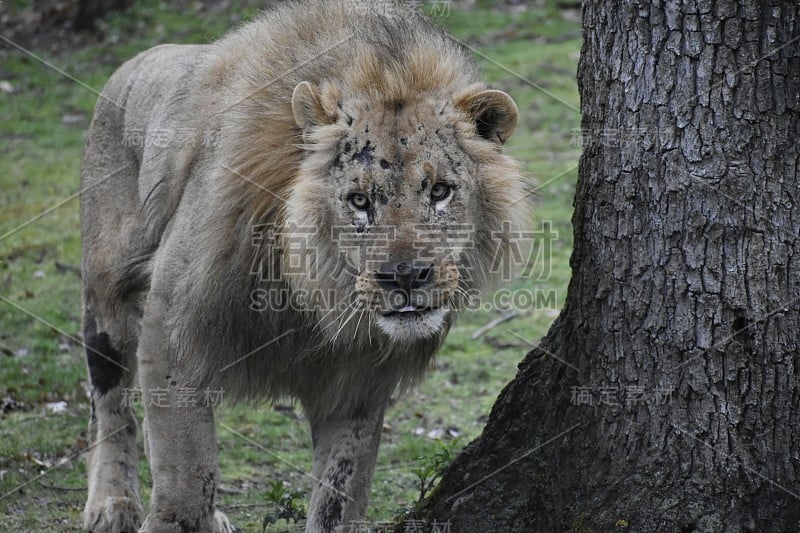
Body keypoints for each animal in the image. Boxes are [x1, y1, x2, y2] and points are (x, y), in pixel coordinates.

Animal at [79, 2, 532, 528]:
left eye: (440, 191)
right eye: (359, 201)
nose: (404, 277)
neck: (313, 292)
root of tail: (132, 64)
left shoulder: (357, 383)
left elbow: (340, 493)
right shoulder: (171, 327)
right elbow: (186, 474)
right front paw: (177, 517)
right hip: (107, 290)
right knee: (109, 400)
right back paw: (111, 505)